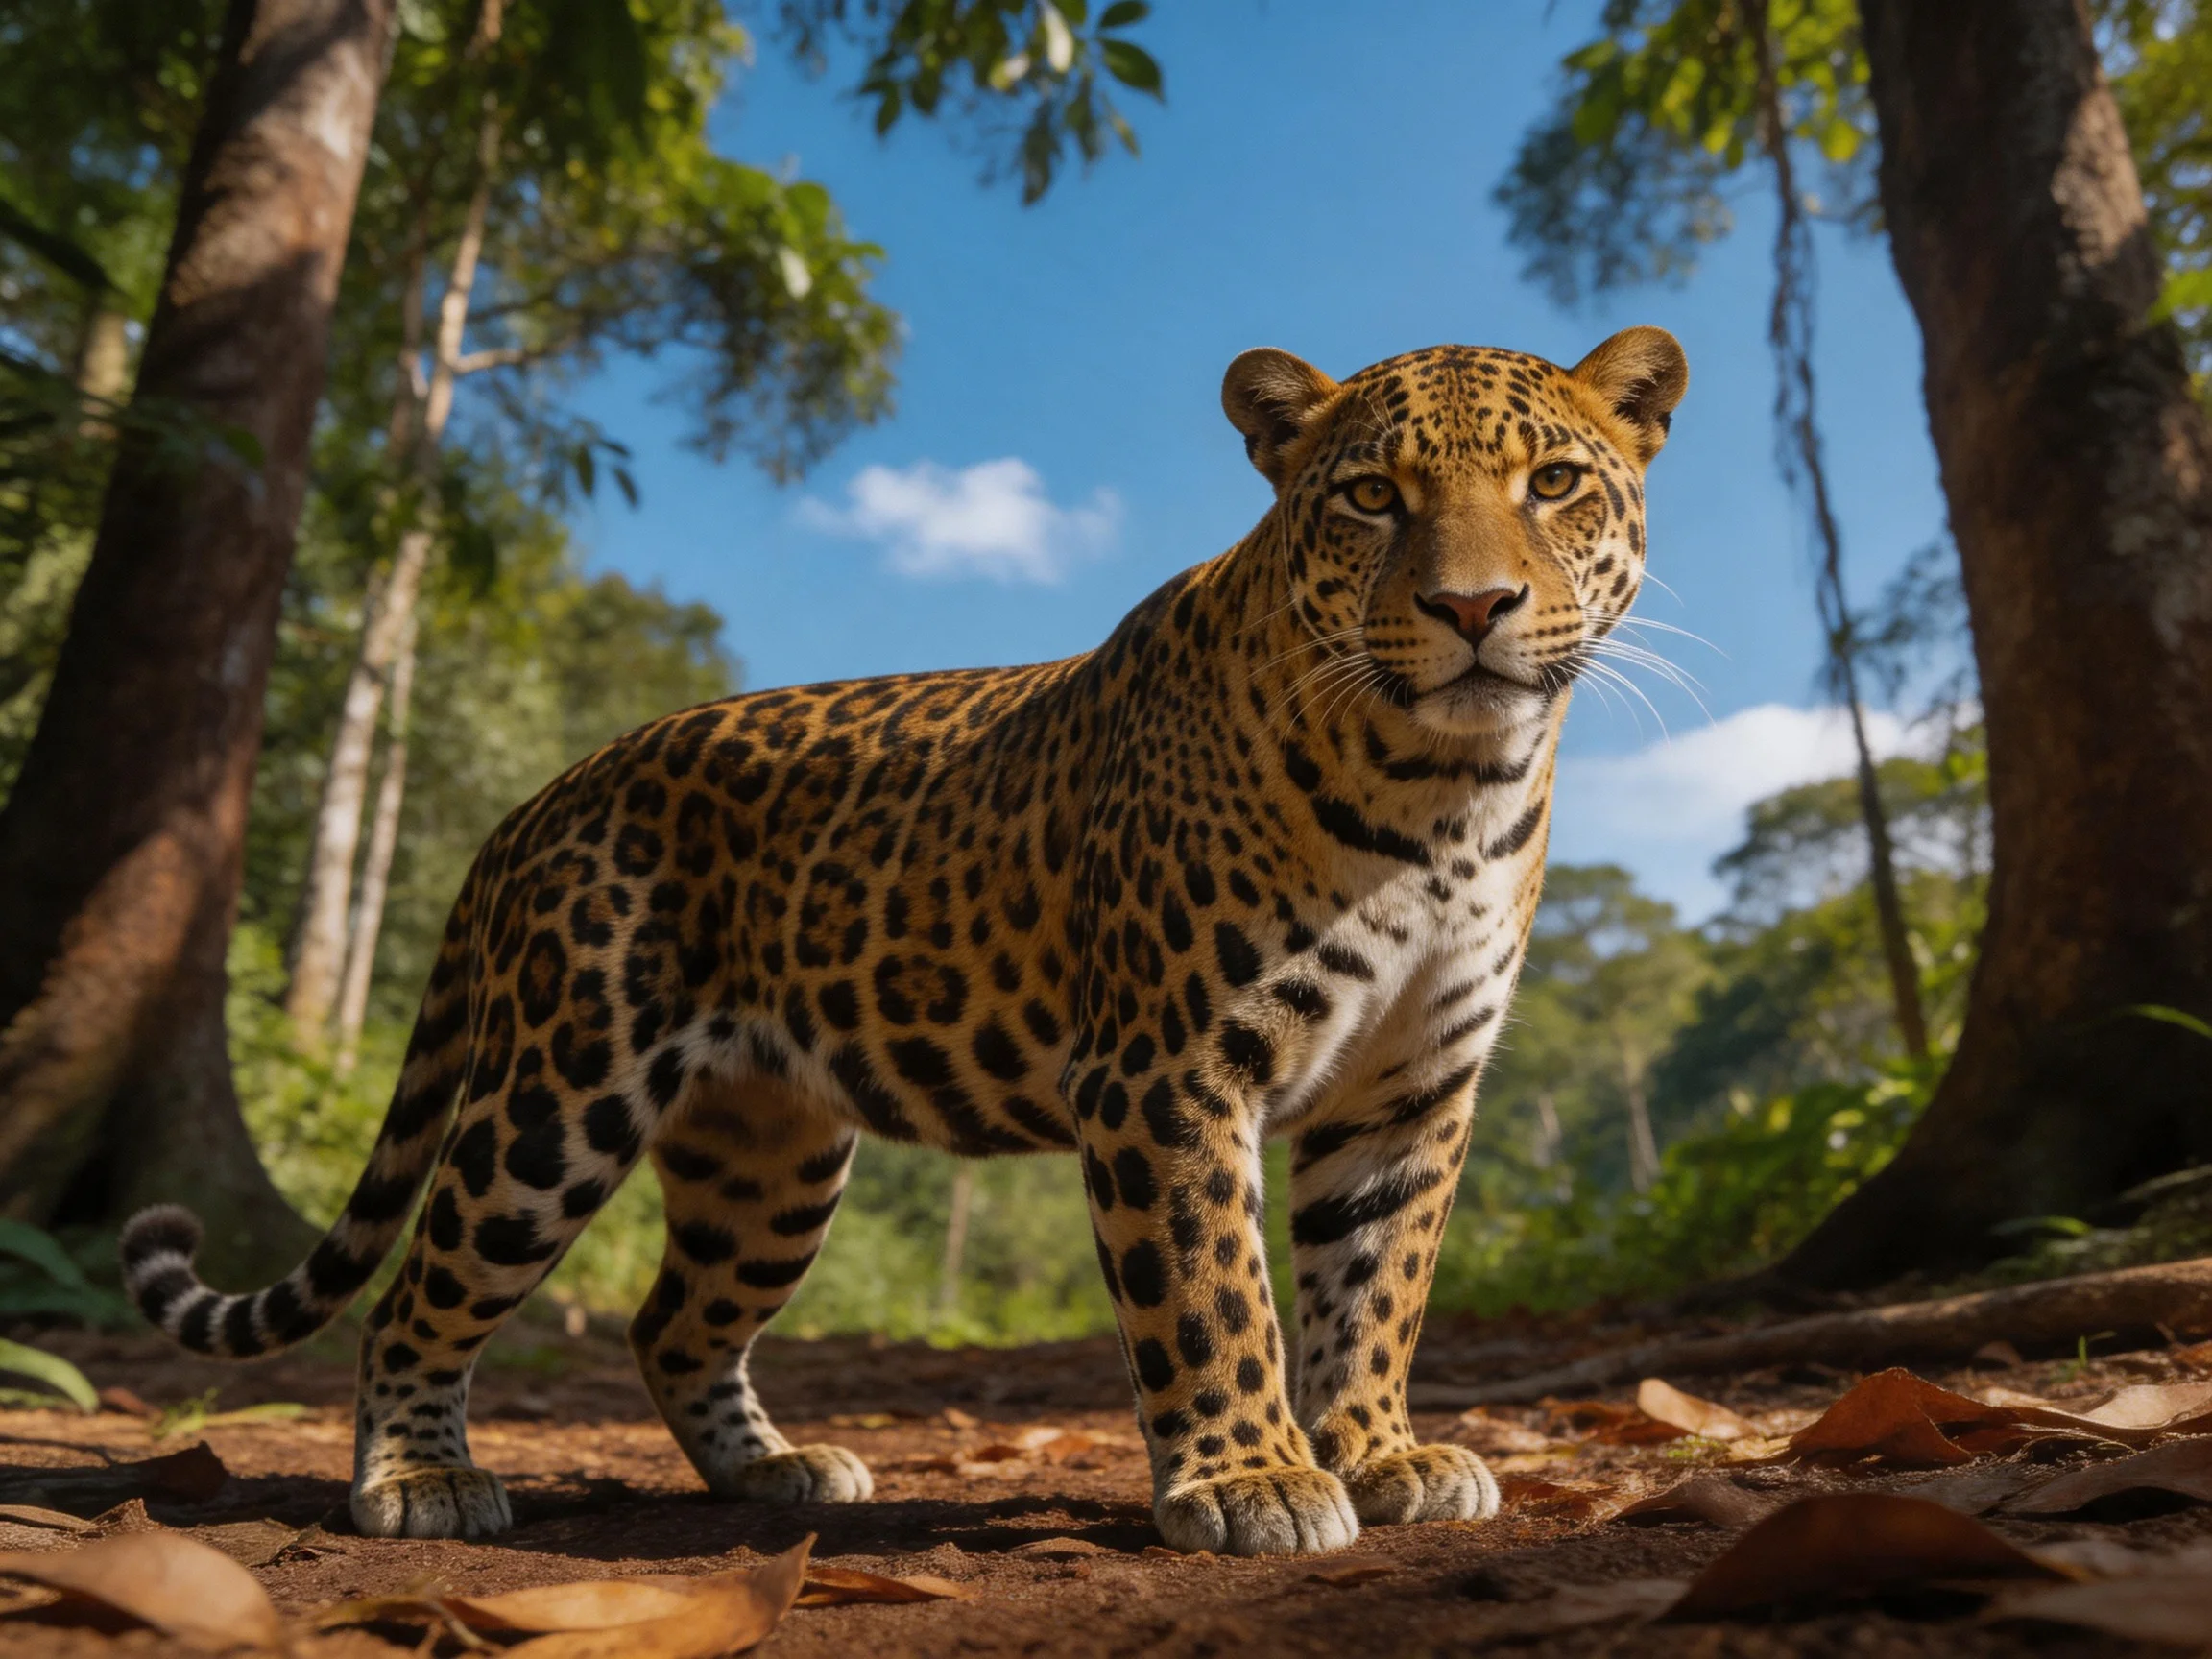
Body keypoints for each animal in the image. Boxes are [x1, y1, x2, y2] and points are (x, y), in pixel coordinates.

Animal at [121, 325, 1687, 1557]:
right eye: (1370, 497)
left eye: (1552, 483)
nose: (1472, 607)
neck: (1445, 793)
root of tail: (535, 803)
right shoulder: (1169, 1070)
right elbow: (1211, 1287)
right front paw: (1254, 1479)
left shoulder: (1411, 1091)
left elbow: (1376, 1286)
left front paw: (1378, 1451)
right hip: (555, 1096)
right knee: (417, 1289)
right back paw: (418, 1481)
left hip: (767, 1156)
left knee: (671, 1320)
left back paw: (777, 1472)